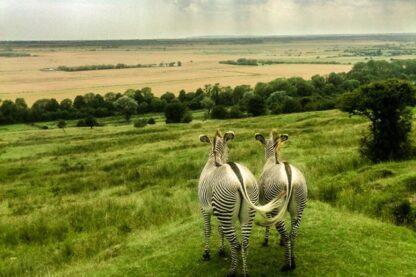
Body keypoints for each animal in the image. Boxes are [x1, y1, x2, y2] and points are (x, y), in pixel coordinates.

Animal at [199, 129, 282, 276]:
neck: (214, 159)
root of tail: (240, 179)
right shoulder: (217, 211)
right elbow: (219, 230)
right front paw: (221, 250)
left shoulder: (205, 210)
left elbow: (207, 230)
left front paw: (207, 254)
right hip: (246, 209)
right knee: (244, 243)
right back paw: (245, 271)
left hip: (226, 211)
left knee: (236, 244)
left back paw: (232, 270)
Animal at [255, 129, 308, 270]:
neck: (272, 160)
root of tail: (287, 171)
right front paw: (280, 242)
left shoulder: (267, 204)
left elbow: (268, 222)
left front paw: (266, 241)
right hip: (299, 206)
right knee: (293, 233)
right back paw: (292, 259)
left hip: (276, 202)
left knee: (285, 233)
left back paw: (287, 265)